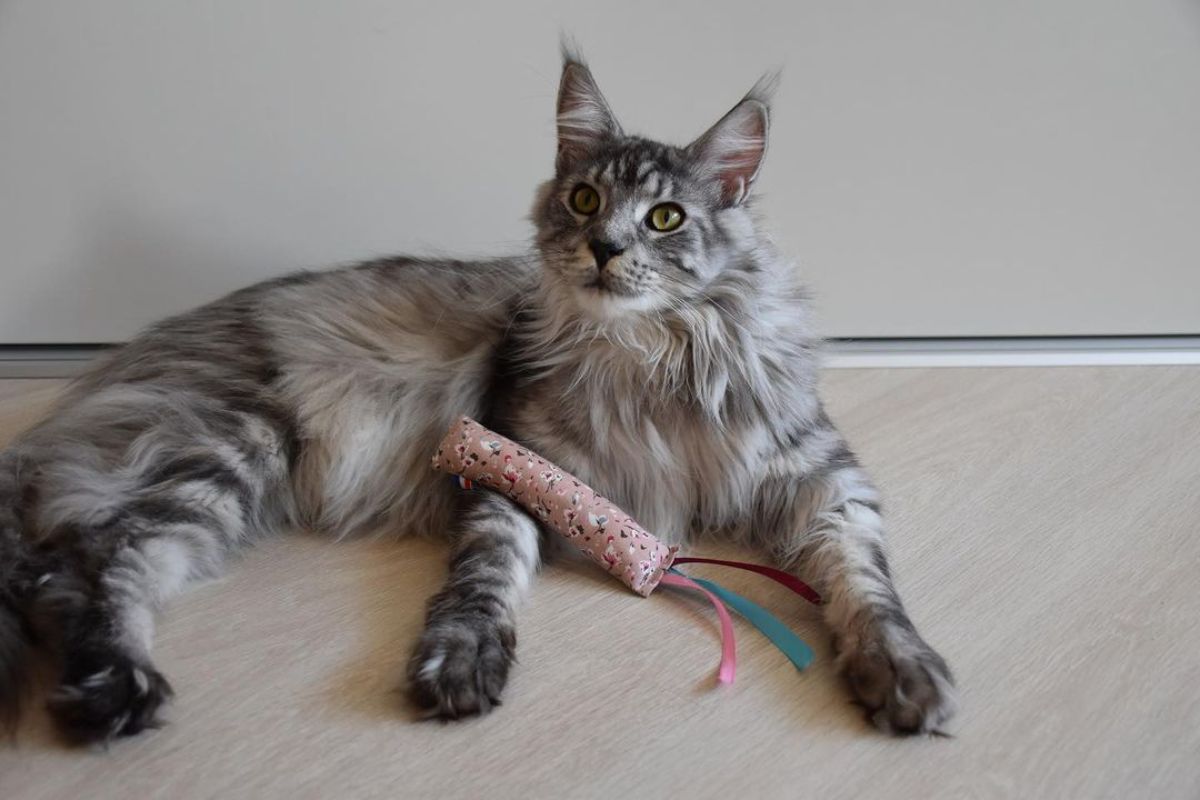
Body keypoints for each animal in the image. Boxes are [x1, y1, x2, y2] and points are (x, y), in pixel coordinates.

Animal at [0, 50, 955, 743]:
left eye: (665, 219)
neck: (650, 360)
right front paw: (458, 660)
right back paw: (113, 688)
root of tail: (112, 373)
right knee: (100, 562)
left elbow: (864, 584)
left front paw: (903, 669)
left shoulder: (825, 482)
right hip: (234, 446)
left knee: (65, 569)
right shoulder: (512, 465)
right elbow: (485, 575)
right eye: (584, 199)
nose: (605, 248)